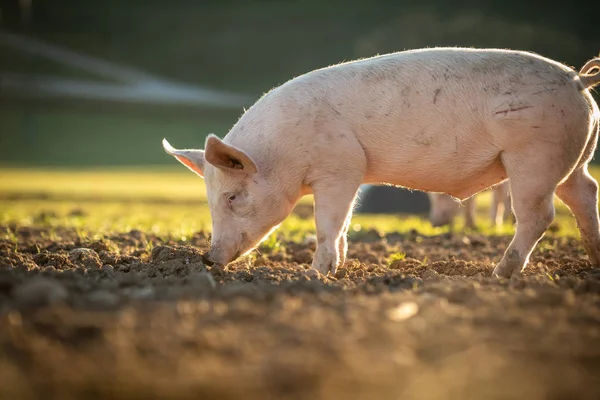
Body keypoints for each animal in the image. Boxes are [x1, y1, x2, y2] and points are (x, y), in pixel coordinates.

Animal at [163, 47, 600, 278]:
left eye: (233, 197)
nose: (207, 258)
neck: (280, 152)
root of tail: (578, 81)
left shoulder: (340, 167)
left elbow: (327, 224)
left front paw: (315, 275)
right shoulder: (351, 176)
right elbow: (343, 227)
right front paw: (337, 269)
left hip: (535, 156)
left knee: (539, 216)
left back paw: (499, 275)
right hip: (572, 161)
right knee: (586, 193)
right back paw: (593, 263)